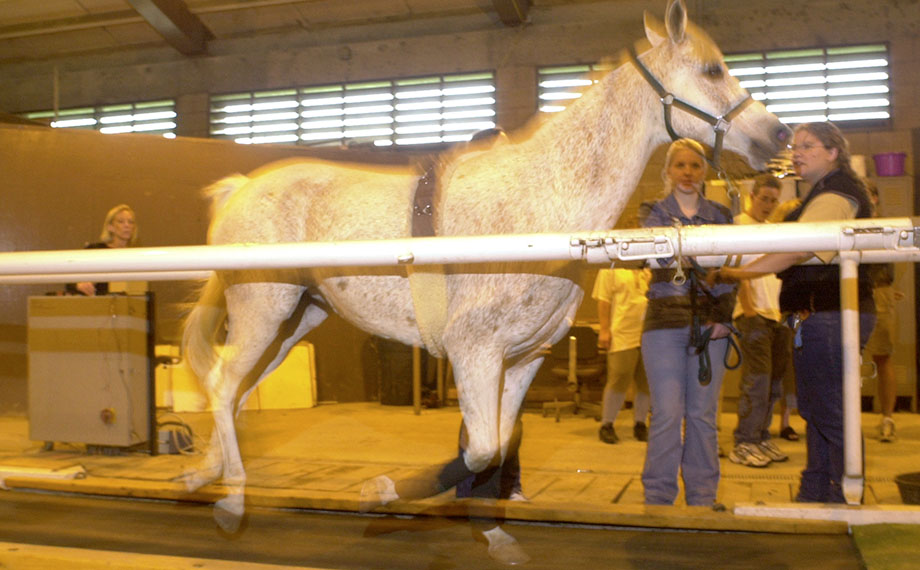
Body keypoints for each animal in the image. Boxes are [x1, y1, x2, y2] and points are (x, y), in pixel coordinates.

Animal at [181, 0, 790, 532]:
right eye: (712, 69)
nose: (778, 134)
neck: (543, 205)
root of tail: (238, 190)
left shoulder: (522, 359)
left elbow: (500, 448)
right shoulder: (473, 351)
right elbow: (480, 449)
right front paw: (386, 491)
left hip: (295, 319)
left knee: (234, 389)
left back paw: (204, 474)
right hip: (264, 309)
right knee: (222, 385)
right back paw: (231, 493)